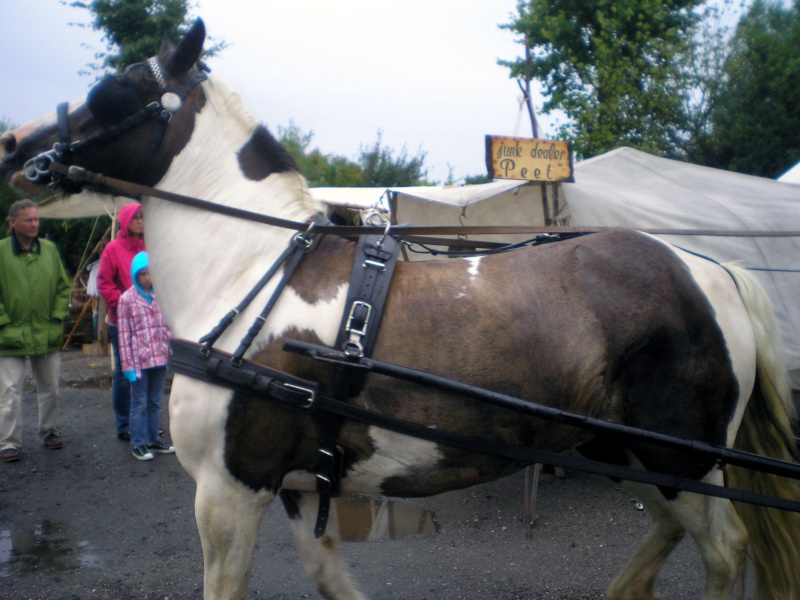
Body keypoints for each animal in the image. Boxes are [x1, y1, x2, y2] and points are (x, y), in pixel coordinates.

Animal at [4, 19, 800, 600]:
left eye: (111, 91)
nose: (14, 144)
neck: (249, 271)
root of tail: (712, 270)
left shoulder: (230, 492)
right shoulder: (300, 488)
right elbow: (329, 576)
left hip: (680, 457)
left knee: (724, 548)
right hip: (618, 449)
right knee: (670, 530)